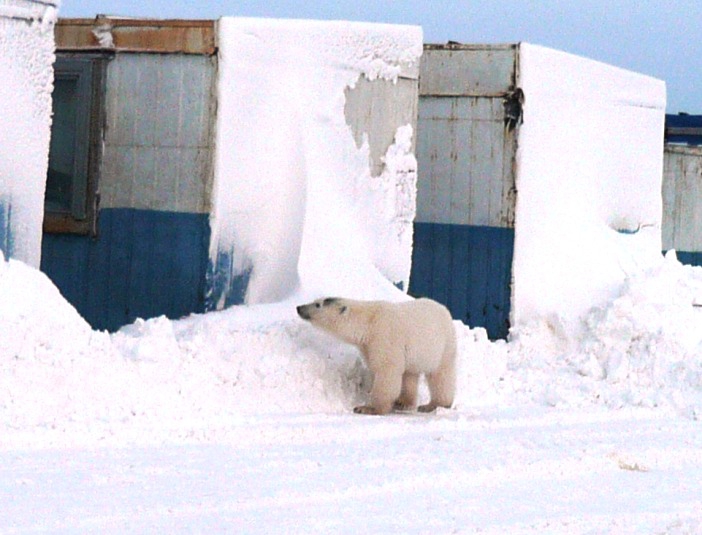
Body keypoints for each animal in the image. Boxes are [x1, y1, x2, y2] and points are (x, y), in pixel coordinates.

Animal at [296, 298, 456, 414]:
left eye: (318, 304)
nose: (299, 307)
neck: (368, 322)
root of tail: (445, 309)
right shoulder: (367, 346)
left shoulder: (384, 336)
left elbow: (386, 371)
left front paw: (367, 408)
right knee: (410, 373)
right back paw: (403, 402)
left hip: (442, 346)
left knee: (441, 375)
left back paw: (434, 405)